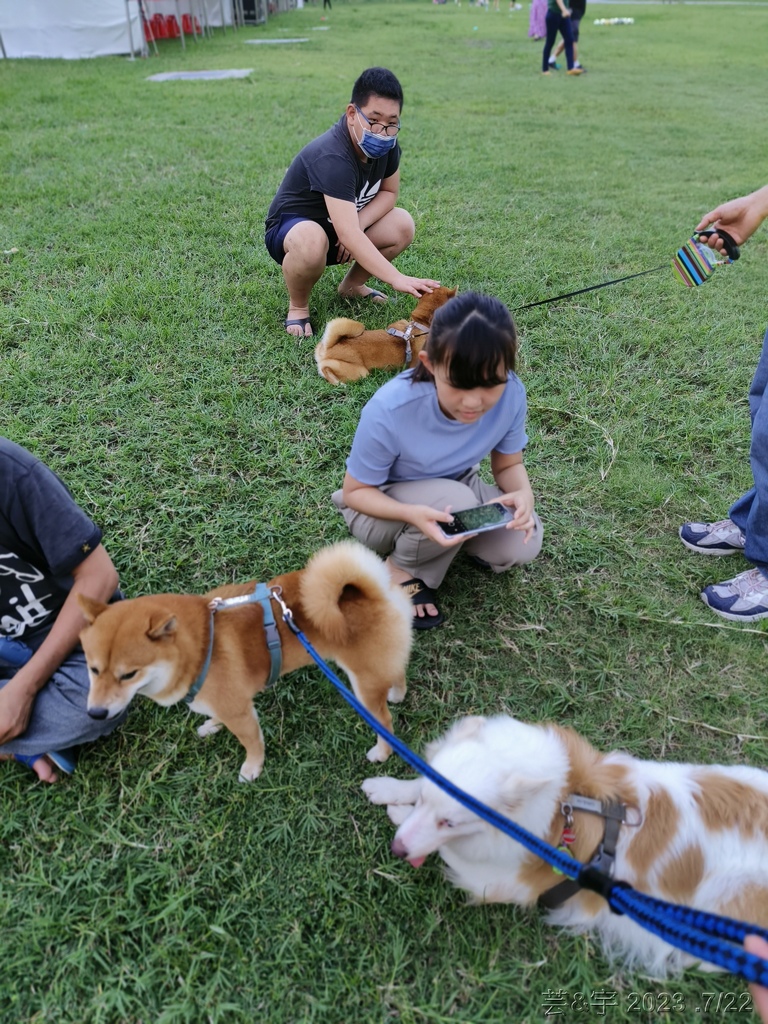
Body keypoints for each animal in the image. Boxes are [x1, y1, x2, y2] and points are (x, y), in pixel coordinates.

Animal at [78, 540, 415, 778]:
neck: (200, 650)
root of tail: (376, 591)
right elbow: (215, 717)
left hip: (363, 682)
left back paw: (382, 752)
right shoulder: (226, 702)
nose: (95, 713)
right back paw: (397, 695)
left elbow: (251, 743)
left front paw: (252, 769)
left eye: (128, 674)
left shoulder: (240, 713)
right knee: (398, 673)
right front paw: (211, 726)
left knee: (384, 720)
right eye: (93, 669)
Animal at [364, 716, 768, 970]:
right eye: (427, 801)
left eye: (450, 822)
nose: (397, 850)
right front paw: (389, 789)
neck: (562, 799)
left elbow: (450, 850)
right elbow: (420, 781)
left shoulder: (505, 882)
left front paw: (398, 816)